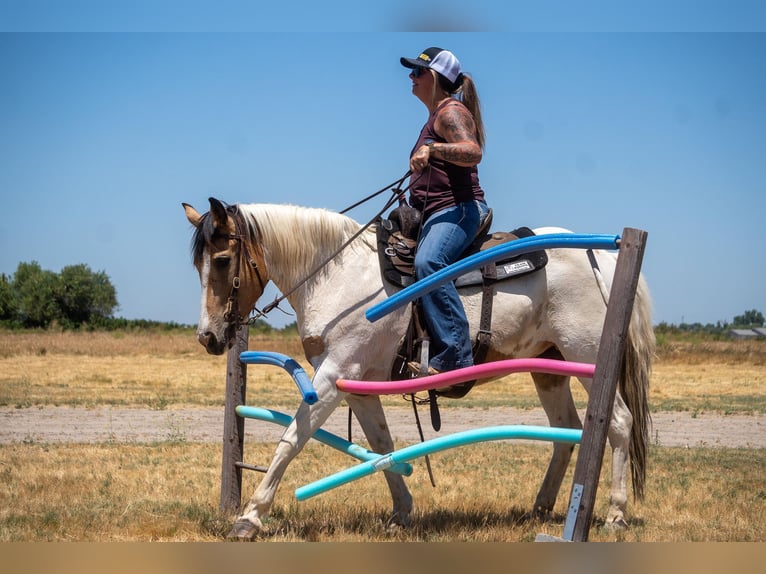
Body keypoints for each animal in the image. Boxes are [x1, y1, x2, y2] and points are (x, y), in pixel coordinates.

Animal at [182, 197, 654, 540]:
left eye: (221, 260)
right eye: (197, 265)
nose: (208, 337)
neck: (336, 276)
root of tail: (603, 256)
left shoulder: (333, 376)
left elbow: (290, 441)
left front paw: (250, 516)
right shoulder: (355, 384)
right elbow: (381, 445)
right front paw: (402, 511)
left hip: (589, 359)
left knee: (616, 423)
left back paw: (614, 514)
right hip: (550, 367)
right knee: (566, 430)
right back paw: (540, 506)